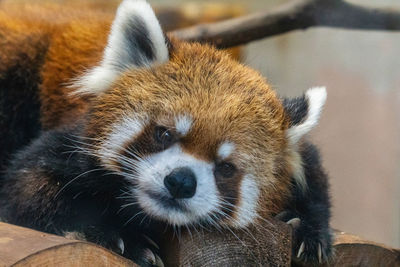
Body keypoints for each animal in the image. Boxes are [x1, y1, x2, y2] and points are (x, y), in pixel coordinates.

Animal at [0, 1, 332, 266]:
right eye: (164, 134)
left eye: (226, 168)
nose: (181, 182)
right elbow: (25, 189)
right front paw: (122, 236)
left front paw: (309, 231)